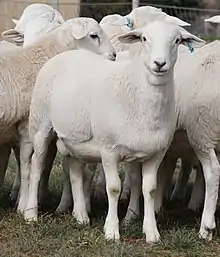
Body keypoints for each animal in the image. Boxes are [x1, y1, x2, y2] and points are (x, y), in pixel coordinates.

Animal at [27, 20, 205, 242]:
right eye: (144, 39)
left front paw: (151, 232)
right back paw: (31, 214)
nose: (159, 63)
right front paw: (112, 231)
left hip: (76, 139)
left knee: (75, 172)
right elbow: (113, 188)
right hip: (40, 125)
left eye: (177, 40)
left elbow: (150, 189)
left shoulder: (156, 153)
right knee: (37, 166)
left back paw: (81, 215)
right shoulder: (109, 150)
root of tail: (67, 54)